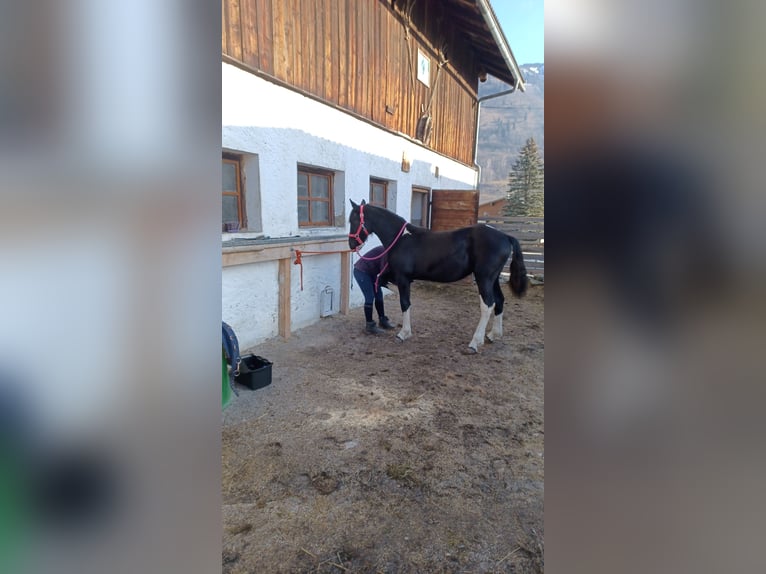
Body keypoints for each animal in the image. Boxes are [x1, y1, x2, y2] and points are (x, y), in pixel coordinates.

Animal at [348, 200, 528, 354]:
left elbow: (405, 303)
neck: (401, 239)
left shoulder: (403, 279)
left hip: (484, 278)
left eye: (353, 220)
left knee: (487, 305)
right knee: (500, 300)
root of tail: (505, 236)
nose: (351, 245)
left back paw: (474, 343)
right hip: (493, 279)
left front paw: (404, 333)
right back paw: (493, 335)